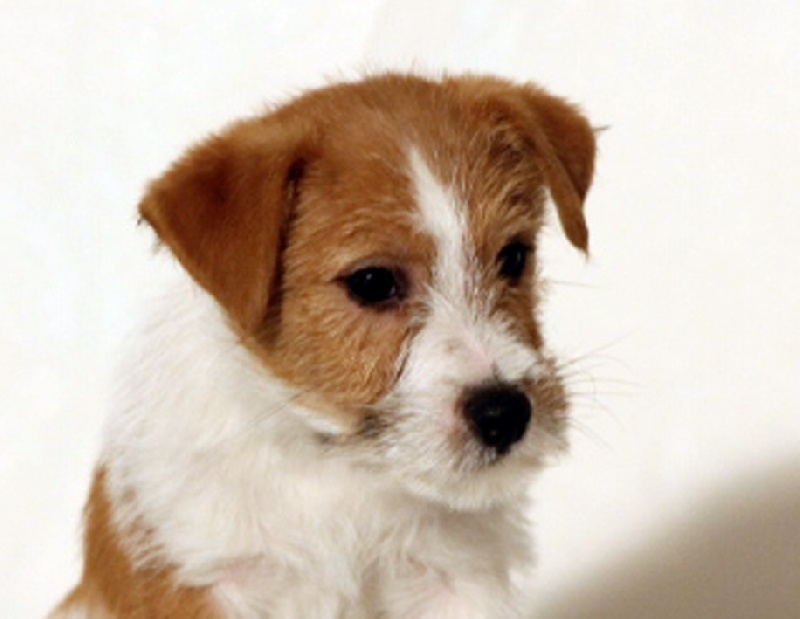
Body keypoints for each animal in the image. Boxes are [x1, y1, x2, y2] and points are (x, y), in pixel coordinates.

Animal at [51, 72, 595, 618]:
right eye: (373, 282)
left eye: (514, 256)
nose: (506, 413)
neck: (337, 463)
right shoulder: (202, 573)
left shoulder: (456, 578)